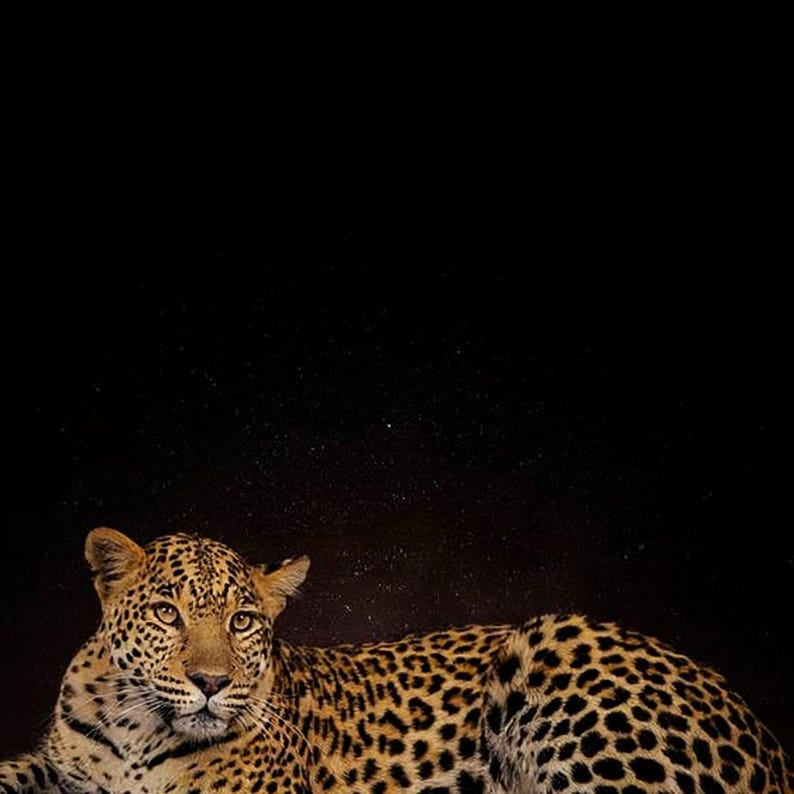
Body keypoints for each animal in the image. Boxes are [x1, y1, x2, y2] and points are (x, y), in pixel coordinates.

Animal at [0, 527, 790, 793]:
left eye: (242, 622)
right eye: (168, 613)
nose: (210, 683)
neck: (138, 733)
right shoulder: (62, 765)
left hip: (552, 647)